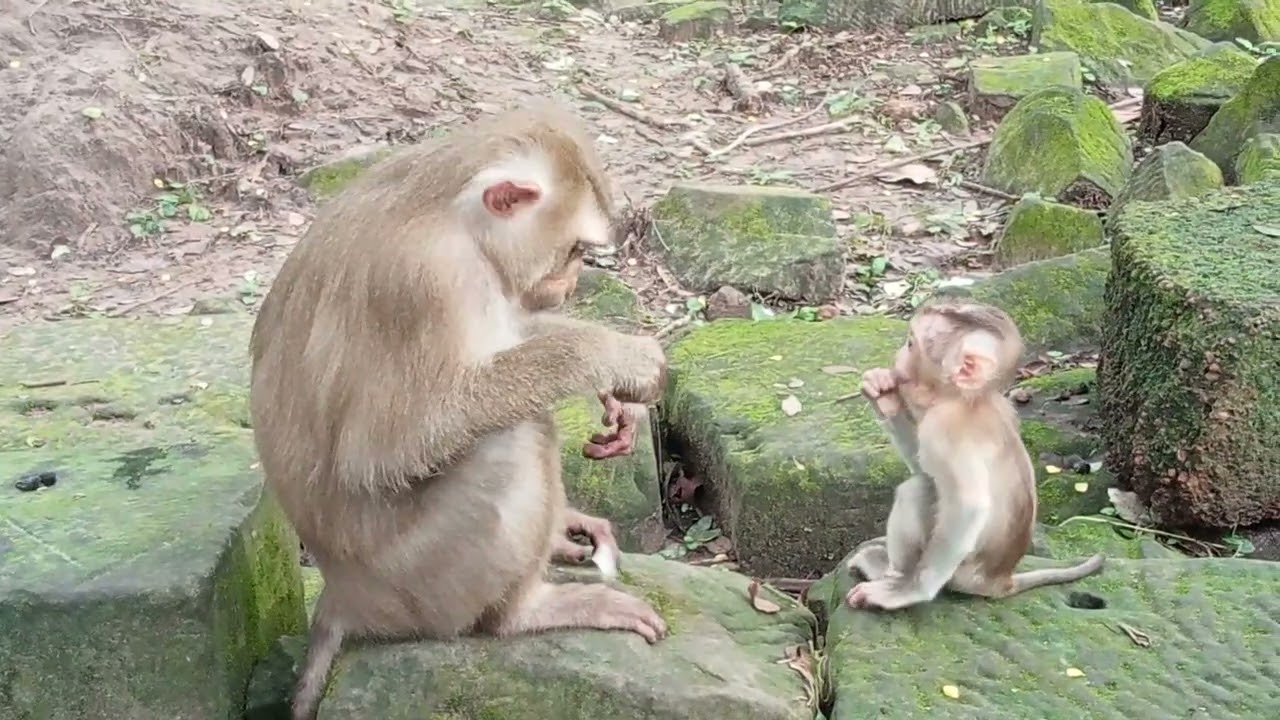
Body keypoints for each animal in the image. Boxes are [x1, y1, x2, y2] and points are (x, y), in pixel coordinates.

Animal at [248, 102, 670, 720]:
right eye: (573, 251)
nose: (570, 284)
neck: (454, 218)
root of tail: (342, 596)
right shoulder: (426, 281)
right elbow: (390, 446)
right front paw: (613, 358)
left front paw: (619, 400)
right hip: (418, 588)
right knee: (510, 439)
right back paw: (522, 613)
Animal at [844, 298, 1104, 612]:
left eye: (910, 343)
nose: (896, 356)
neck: (965, 399)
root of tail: (1000, 581)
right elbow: (922, 467)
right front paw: (884, 395)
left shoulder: (941, 430)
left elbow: (968, 505)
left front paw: (911, 590)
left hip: (961, 570)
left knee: (918, 489)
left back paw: (892, 575)